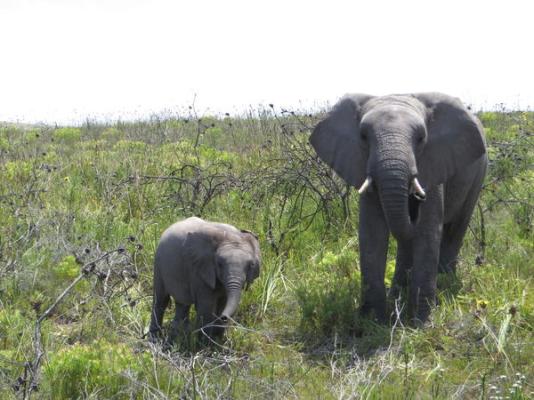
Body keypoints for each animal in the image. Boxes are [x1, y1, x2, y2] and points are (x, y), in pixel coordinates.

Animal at [310, 92, 490, 324]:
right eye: (364, 137)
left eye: (421, 138)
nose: (416, 200)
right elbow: (372, 232)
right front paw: (373, 322)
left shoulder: (434, 162)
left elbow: (428, 231)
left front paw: (420, 323)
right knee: (407, 241)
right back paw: (398, 294)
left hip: (479, 173)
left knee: (456, 227)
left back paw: (444, 285)